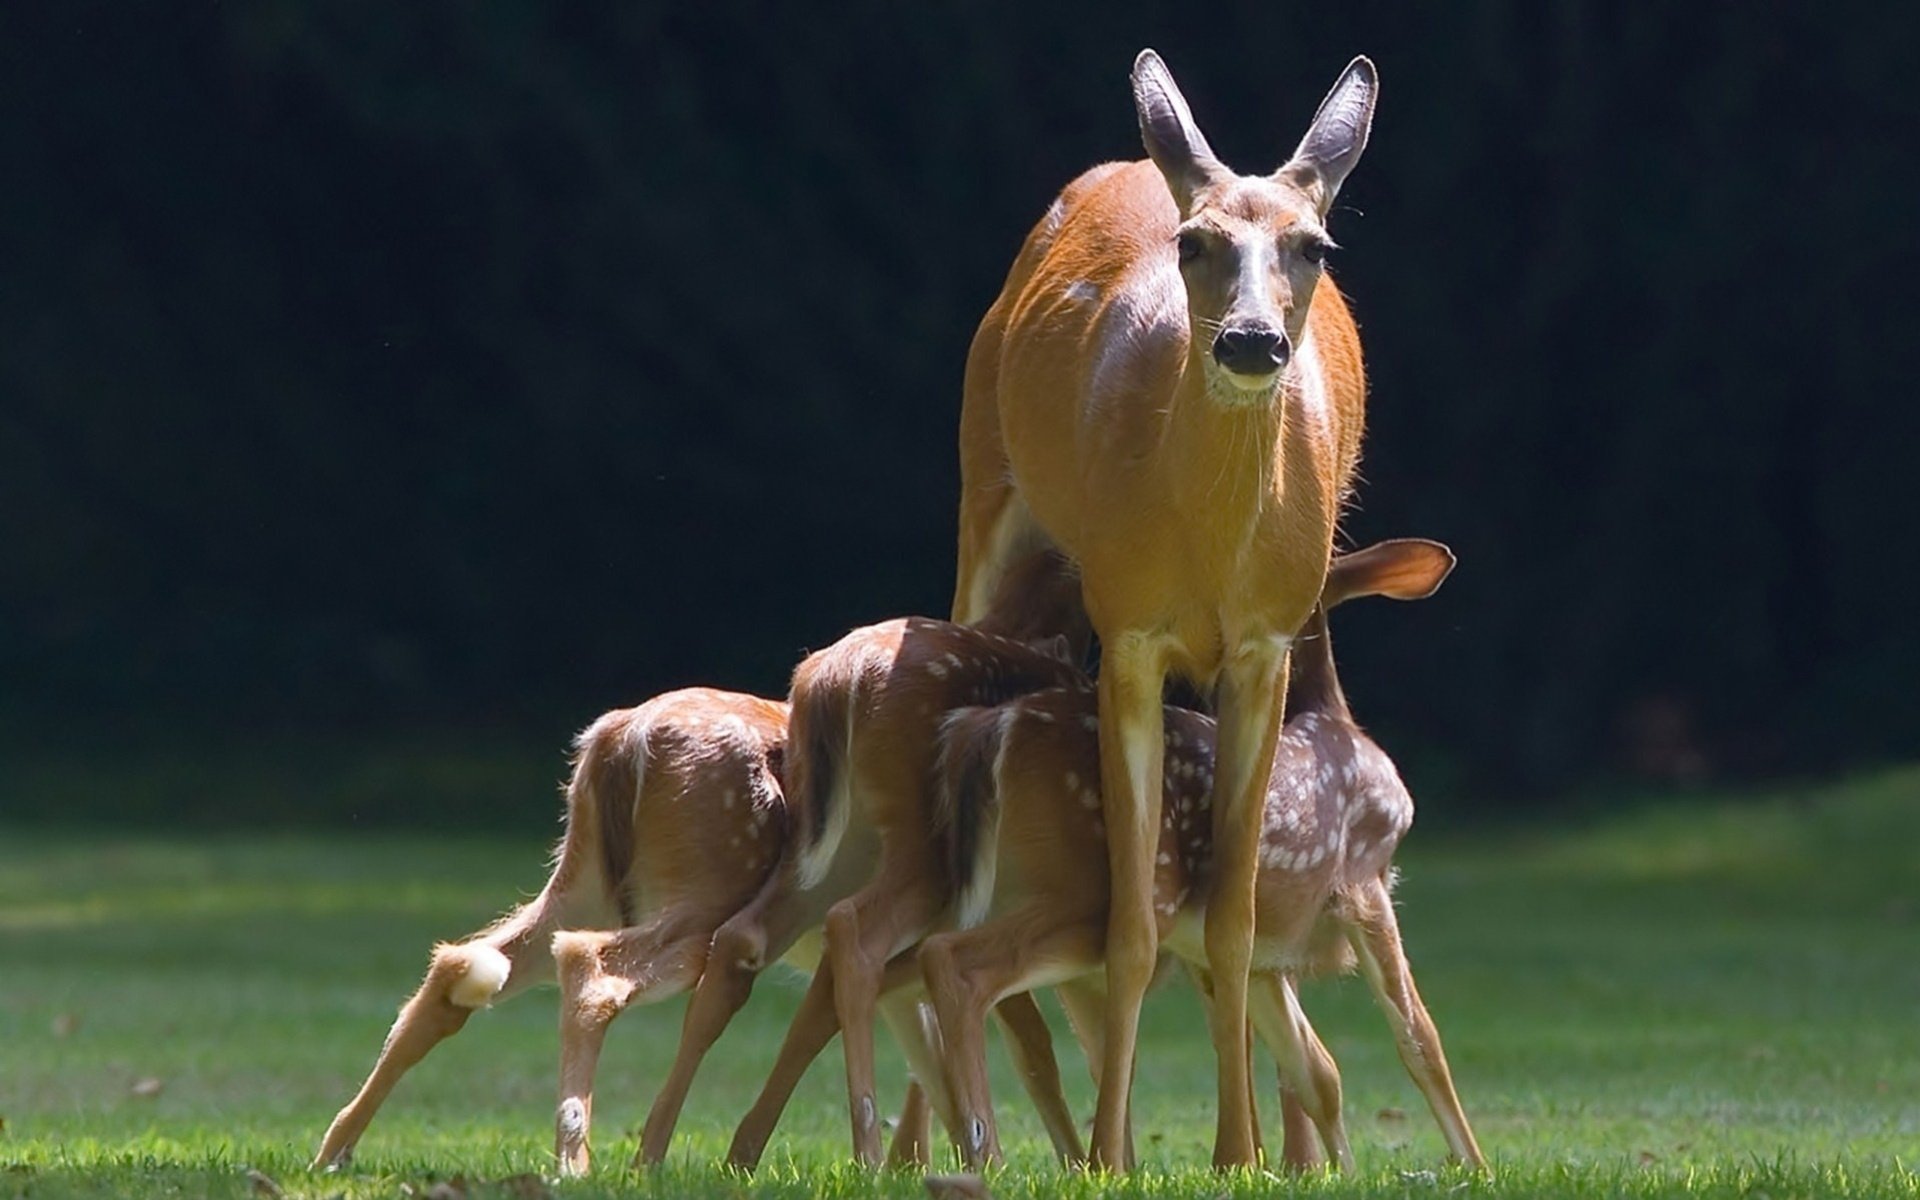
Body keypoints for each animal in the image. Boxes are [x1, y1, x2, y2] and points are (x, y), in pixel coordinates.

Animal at [922, 539, 1486, 1172]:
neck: (1336, 720)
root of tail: (991, 728)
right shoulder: (1365, 880)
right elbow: (1420, 1040)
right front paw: (1477, 1167)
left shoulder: (1263, 955)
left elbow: (1315, 1069)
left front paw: (1340, 1172)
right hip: (1093, 897)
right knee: (956, 962)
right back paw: (986, 1153)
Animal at [949, 48, 1379, 1167]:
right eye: (1196, 243)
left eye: (1316, 246)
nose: (1252, 343)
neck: (1208, 549)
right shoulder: (1130, 629)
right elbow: (1131, 927)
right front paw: (1110, 1153)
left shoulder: (1266, 645)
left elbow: (1232, 918)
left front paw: (1241, 1153)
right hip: (984, 495)